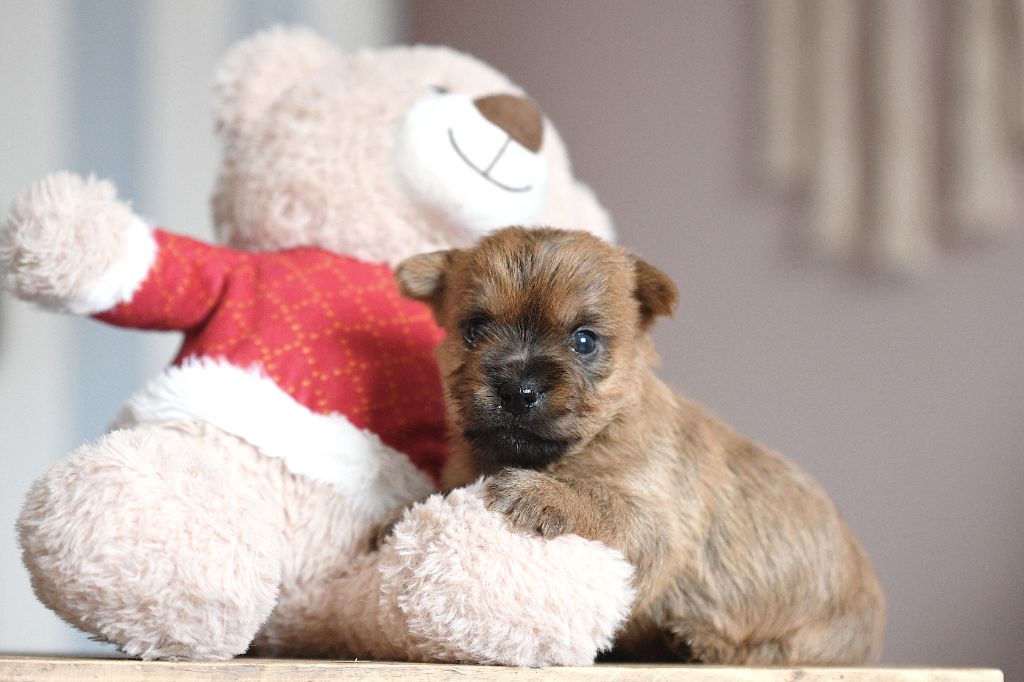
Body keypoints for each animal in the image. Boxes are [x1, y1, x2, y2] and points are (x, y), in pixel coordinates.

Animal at [391, 225, 888, 659]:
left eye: (584, 341)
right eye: (474, 329)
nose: (518, 390)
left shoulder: (652, 523)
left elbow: (599, 501)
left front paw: (540, 493)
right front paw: (393, 519)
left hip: (818, 638)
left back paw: (699, 643)